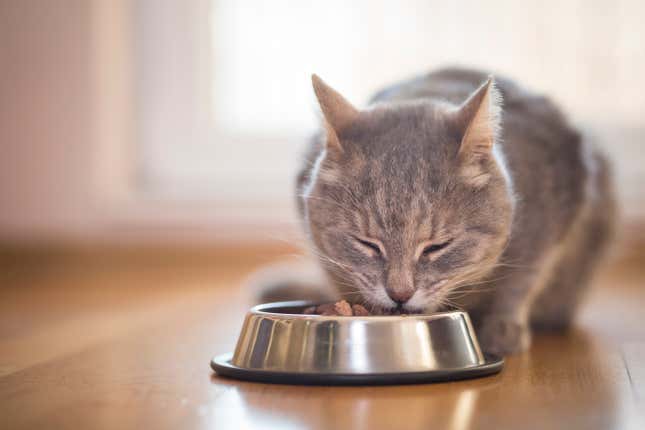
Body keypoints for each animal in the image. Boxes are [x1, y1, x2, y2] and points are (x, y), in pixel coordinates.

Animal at [258, 68, 612, 356]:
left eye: (437, 247)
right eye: (367, 244)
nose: (399, 294)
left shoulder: (553, 213)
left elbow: (523, 278)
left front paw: (503, 326)